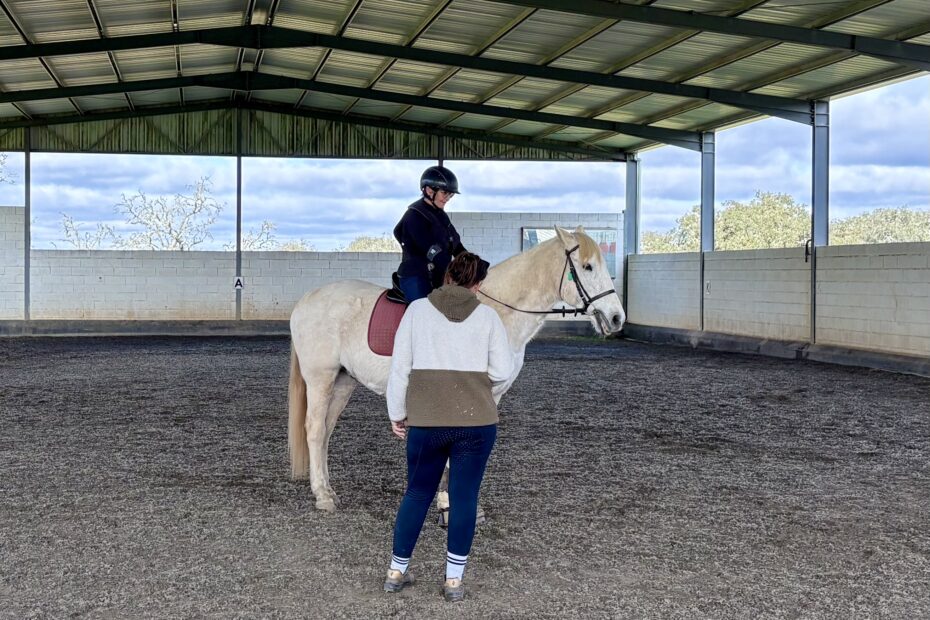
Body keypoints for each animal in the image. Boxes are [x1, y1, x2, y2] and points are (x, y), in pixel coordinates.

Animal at [288, 225, 624, 512]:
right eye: (587, 267)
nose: (617, 318)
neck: (495, 311)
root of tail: (306, 300)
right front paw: (450, 503)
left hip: (344, 381)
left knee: (326, 431)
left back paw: (328, 489)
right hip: (321, 378)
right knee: (315, 429)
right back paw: (322, 496)